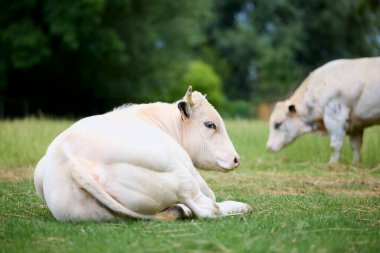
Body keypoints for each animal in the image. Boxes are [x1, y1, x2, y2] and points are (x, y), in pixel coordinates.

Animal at [35, 87, 252, 221]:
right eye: (210, 124)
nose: (236, 159)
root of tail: (71, 157)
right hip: (182, 176)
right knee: (209, 208)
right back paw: (241, 207)